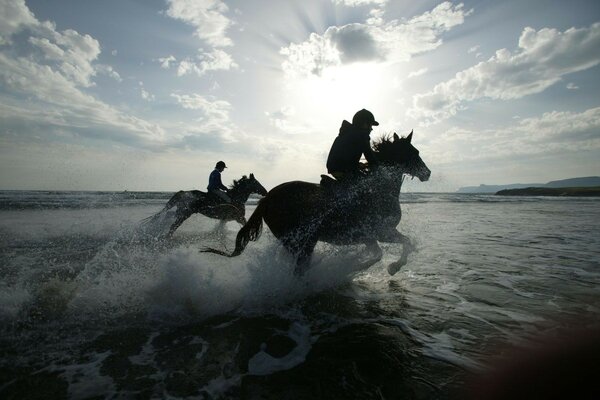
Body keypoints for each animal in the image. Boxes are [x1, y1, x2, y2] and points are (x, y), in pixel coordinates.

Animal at [205, 131, 432, 276]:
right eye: (414, 152)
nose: (427, 173)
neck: (378, 189)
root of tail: (267, 198)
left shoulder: (370, 237)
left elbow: (380, 252)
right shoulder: (383, 231)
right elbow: (404, 243)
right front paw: (391, 267)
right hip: (302, 241)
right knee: (299, 268)